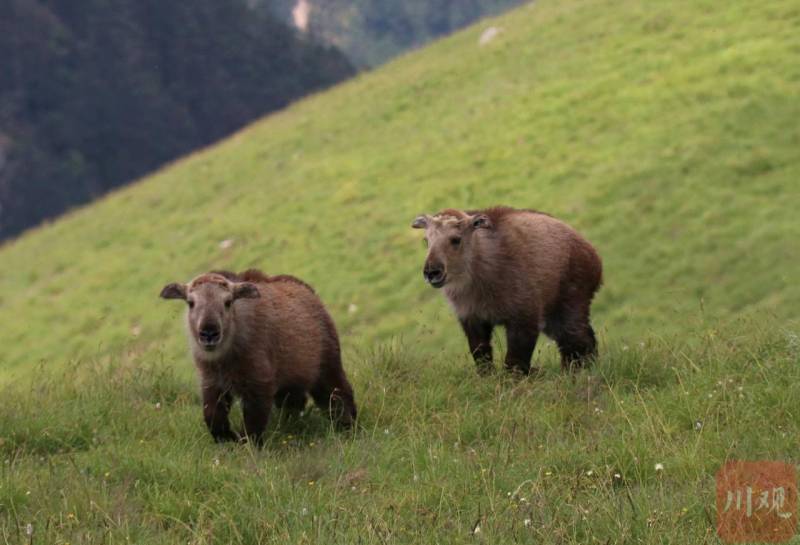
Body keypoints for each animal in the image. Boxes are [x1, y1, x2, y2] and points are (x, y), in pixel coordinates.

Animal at [162, 268, 356, 442]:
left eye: (228, 301)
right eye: (190, 302)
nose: (209, 333)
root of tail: (309, 291)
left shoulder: (259, 383)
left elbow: (253, 424)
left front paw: (247, 447)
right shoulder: (211, 383)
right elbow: (213, 417)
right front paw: (227, 440)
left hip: (328, 365)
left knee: (339, 394)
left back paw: (348, 426)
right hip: (292, 381)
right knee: (295, 404)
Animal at [412, 207, 600, 374]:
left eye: (456, 239)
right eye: (426, 240)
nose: (432, 272)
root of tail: (593, 255)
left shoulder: (524, 318)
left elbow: (514, 363)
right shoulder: (472, 319)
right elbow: (481, 356)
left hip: (569, 307)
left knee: (579, 342)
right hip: (552, 317)